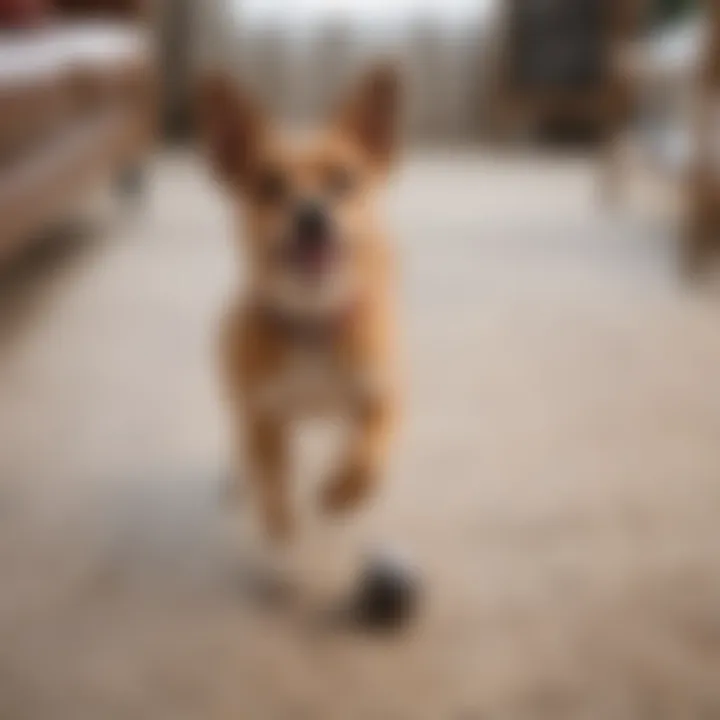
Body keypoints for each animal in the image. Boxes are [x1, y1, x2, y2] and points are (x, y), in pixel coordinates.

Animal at [200, 64, 402, 544]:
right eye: (268, 186)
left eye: (343, 181)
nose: (311, 214)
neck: (314, 320)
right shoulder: (264, 417)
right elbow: (271, 477)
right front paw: (281, 522)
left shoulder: (384, 397)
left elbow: (370, 454)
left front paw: (343, 489)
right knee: (245, 447)